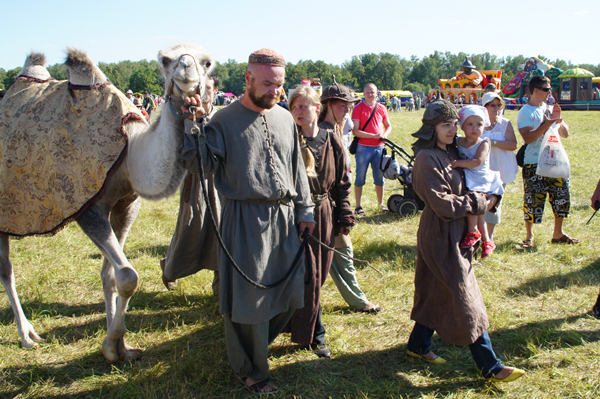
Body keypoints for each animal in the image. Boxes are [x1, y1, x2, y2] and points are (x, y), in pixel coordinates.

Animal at [0, 43, 216, 362]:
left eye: (208, 62)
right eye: (165, 60)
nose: (186, 69)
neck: (129, 153)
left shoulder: (126, 205)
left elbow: (111, 275)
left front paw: (120, 347)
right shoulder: (88, 209)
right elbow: (127, 276)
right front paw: (111, 343)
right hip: (8, 208)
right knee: (6, 267)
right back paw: (27, 336)